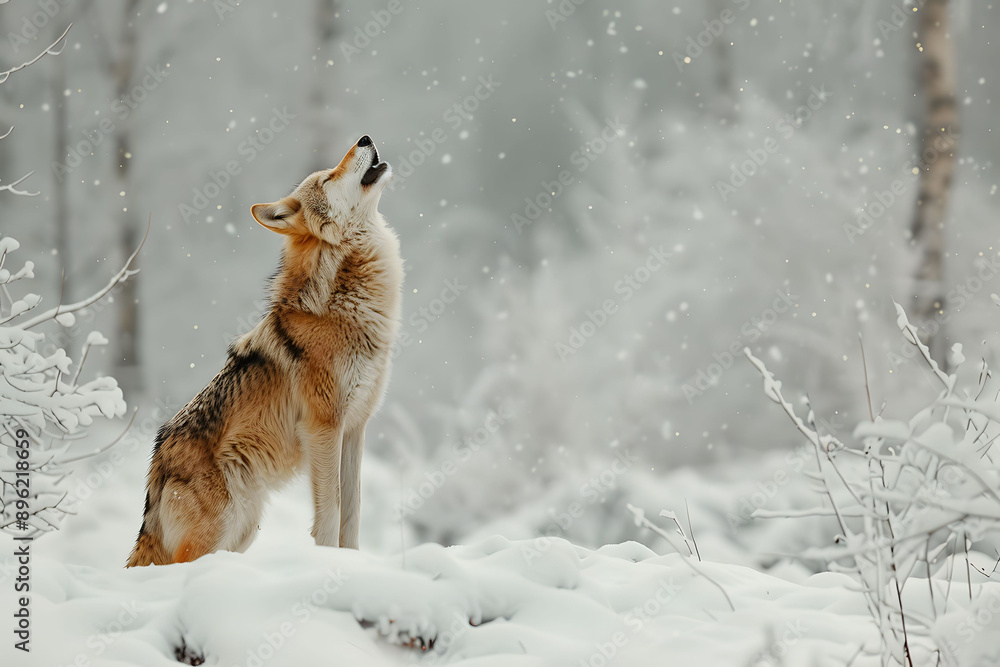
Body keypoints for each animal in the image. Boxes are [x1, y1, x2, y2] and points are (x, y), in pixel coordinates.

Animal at [127, 135, 402, 566]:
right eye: (328, 178)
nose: (365, 138)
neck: (345, 301)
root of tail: (155, 469)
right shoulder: (324, 427)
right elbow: (332, 511)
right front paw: (329, 564)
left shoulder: (355, 427)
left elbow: (353, 513)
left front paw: (352, 562)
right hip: (222, 526)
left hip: (243, 529)